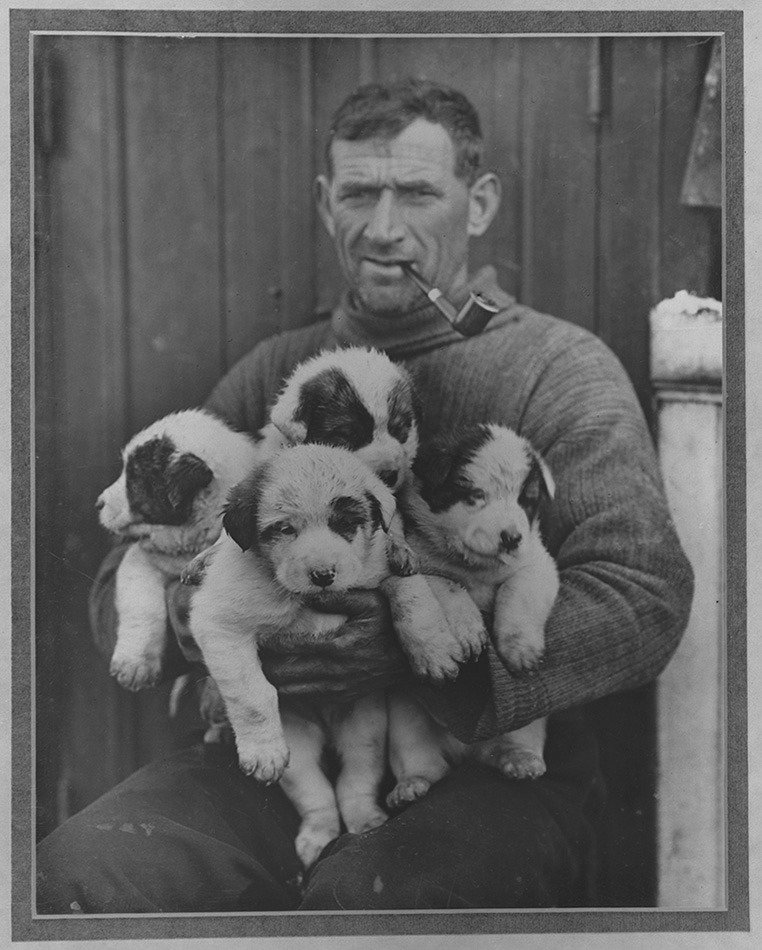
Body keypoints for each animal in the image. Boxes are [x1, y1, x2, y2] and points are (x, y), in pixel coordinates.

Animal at [386, 424, 560, 796]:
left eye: (526, 499)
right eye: (475, 495)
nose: (511, 538)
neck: (476, 566)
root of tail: (467, 750)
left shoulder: (537, 564)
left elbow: (517, 592)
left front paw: (520, 650)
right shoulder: (422, 562)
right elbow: (450, 587)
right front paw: (468, 633)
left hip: (525, 720)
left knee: (514, 738)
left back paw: (519, 760)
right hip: (406, 717)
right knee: (420, 757)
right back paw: (413, 784)